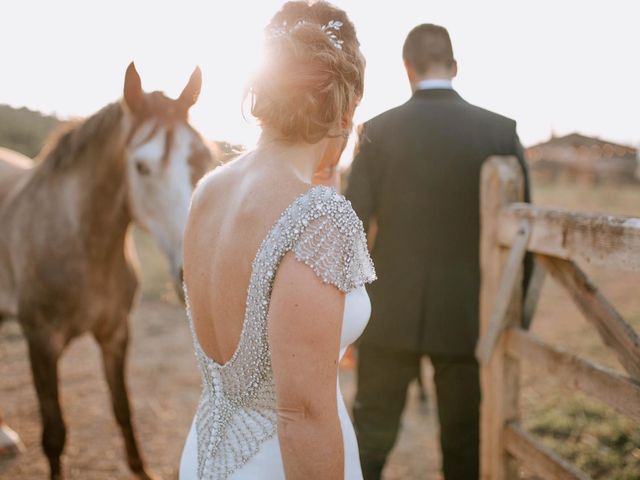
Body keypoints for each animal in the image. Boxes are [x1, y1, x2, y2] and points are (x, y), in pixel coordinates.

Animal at [0, 62, 216, 478]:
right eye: (141, 166)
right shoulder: (41, 343)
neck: (84, 246)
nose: (196, 271)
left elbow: (123, 412)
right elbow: (55, 434)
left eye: (204, 159)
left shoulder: (116, 334)